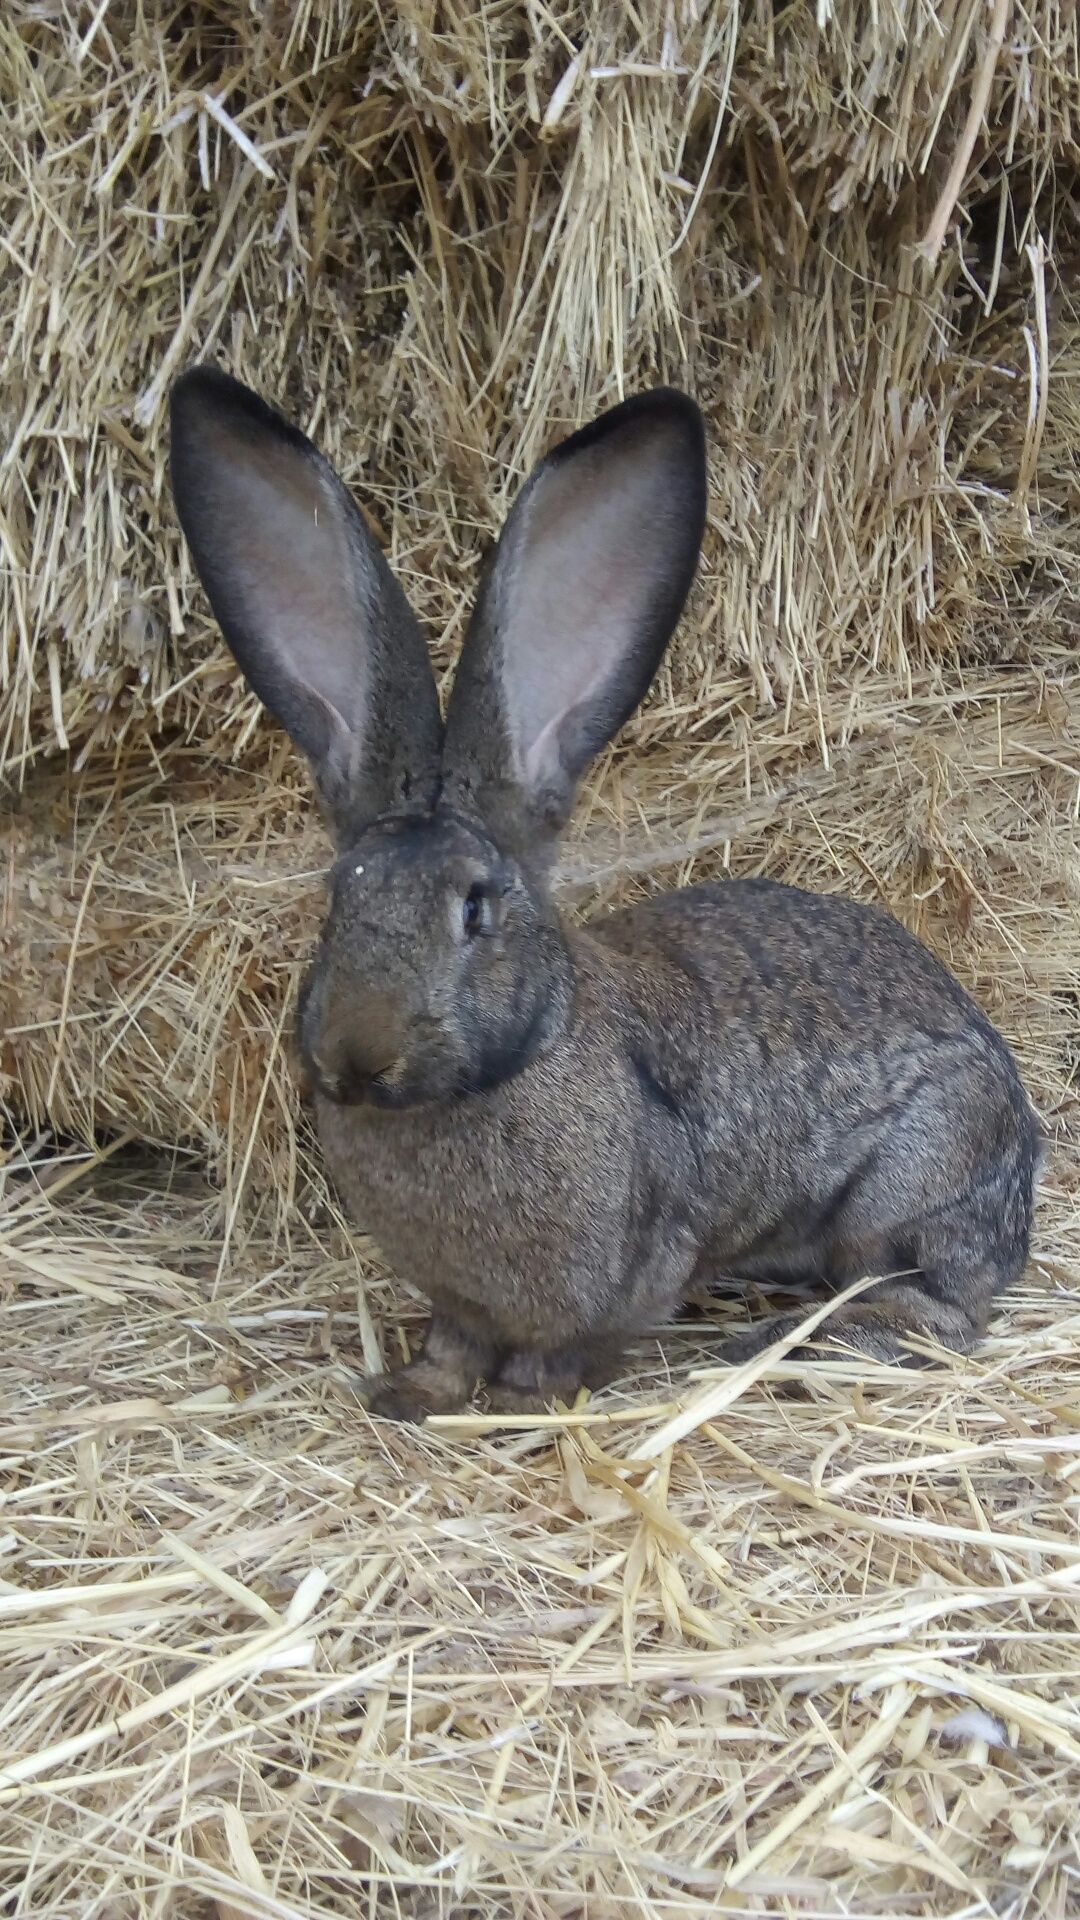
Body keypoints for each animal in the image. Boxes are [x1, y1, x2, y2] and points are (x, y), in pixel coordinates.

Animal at [171, 366, 1037, 1420]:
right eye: (339, 901)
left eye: (476, 907)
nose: (356, 1058)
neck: (520, 1055)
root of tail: (1023, 1147)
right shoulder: (457, 1299)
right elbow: (453, 1342)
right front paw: (411, 1393)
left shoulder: (636, 1267)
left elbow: (571, 1348)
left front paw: (520, 1400)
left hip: (903, 1191)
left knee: (935, 1310)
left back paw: (779, 1339)